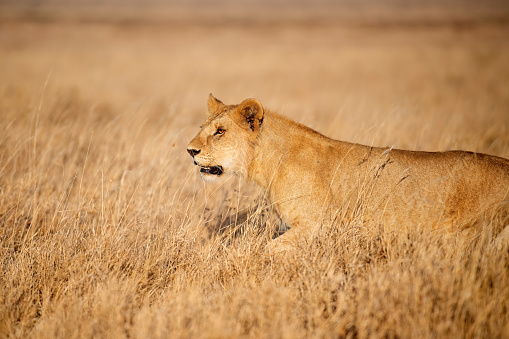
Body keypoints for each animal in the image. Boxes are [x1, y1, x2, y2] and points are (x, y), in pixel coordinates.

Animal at [188, 94, 508, 248]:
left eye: (220, 131)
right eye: (203, 128)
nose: (190, 151)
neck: (267, 164)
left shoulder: (319, 225)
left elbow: (270, 250)